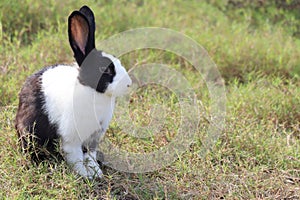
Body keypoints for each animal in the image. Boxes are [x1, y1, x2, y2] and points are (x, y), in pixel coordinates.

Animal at [14, 5, 131, 179]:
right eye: (104, 69)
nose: (129, 84)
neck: (93, 92)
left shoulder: (93, 138)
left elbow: (90, 155)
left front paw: (96, 172)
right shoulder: (71, 138)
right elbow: (76, 157)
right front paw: (85, 175)